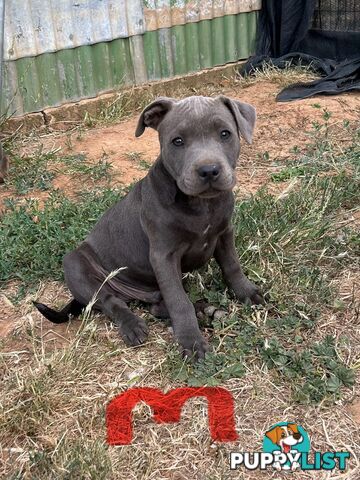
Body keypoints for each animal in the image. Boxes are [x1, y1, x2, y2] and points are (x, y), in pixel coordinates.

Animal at [35, 95, 262, 358]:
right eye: (177, 141)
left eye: (225, 134)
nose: (208, 170)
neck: (201, 204)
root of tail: (132, 293)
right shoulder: (163, 256)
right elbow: (179, 301)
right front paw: (192, 342)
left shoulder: (225, 233)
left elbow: (232, 266)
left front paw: (247, 293)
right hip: (75, 265)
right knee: (110, 301)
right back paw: (133, 325)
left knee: (155, 306)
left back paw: (206, 311)